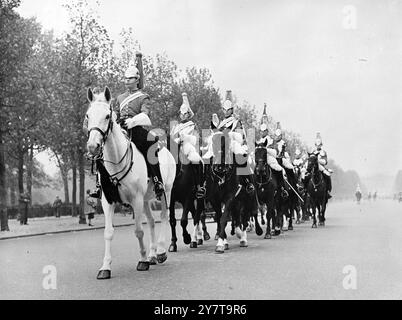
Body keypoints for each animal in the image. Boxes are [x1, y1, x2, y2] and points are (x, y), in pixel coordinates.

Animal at [86, 86, 176, 278]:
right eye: (88, 115)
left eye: (107, 116)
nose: (92, 147)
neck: (116, 160)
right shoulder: (108, 201)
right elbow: (108, 233)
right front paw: (105, 267)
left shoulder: (136, 199)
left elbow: (138, 231)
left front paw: (142, 261)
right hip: (146, 199)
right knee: (152, 222)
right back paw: (152, 255)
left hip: (166, 191)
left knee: (164, 217)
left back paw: (161, 252)